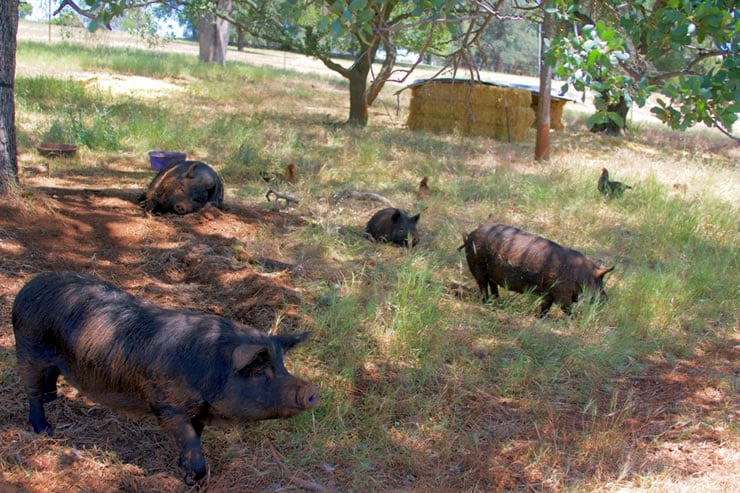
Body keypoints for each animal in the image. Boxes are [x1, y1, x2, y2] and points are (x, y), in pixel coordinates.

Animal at [11, 270, 318, 478]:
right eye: (260, 370)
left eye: (282, 366)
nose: (312, 390)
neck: (210, 369)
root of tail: (28, 287)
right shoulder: (169, 407)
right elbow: (189, 440)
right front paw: (194, 477)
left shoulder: (198, 410)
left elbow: (195, 437)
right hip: (28, 346)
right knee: (32, 390)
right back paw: (43, 429)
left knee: (51, 375)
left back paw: (53, 399)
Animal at [460, 223, 616, 316]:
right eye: (599, 280)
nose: (606, 300)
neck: (580, 275)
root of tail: (469, 235)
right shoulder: (561, 293)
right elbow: (566, 308)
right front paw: (574, 319)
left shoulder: (550, 292)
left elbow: (546, 306)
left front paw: (540, 318)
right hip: (477, 266)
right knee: (483, 285)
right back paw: (487, 303)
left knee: (493, 286)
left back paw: (498, 302)